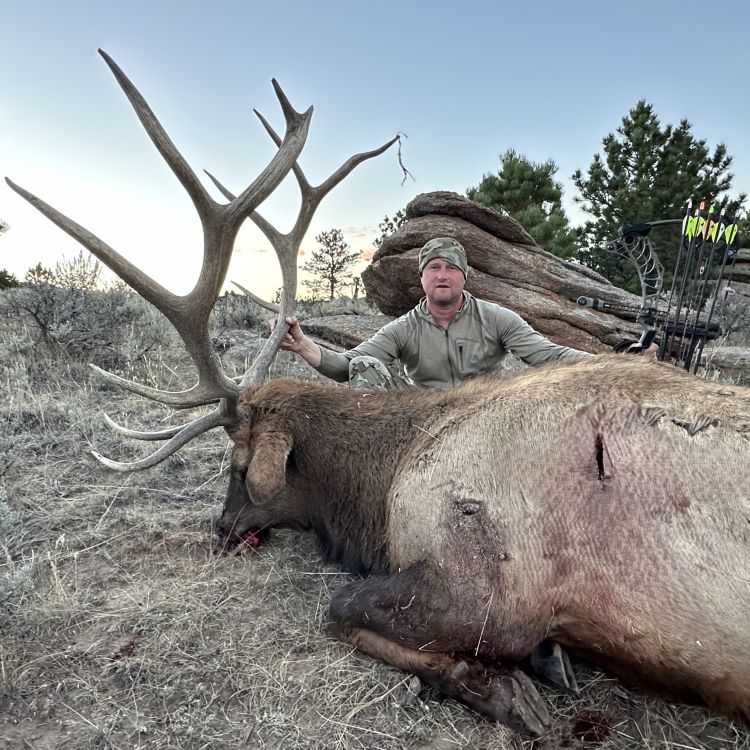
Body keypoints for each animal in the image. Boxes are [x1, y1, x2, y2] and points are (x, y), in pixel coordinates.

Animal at [7, 51, 750, 740]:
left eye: (239, 466)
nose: (219, 527)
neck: (380, 485)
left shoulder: (490, 591)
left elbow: (340, 611)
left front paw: (507, 689)